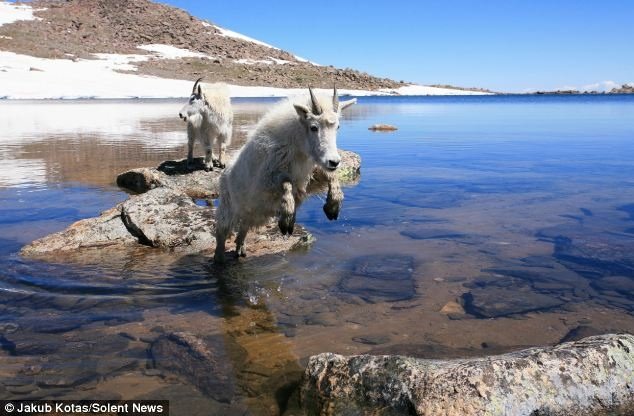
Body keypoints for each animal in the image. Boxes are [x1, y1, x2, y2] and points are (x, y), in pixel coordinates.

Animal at [214, 86, 356, 264]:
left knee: (243, 229)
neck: (298, 148)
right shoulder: (268, 181)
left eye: (337, 127)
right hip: (230, 207)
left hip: (251, 213)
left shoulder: (308, 178)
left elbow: (330, 177)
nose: (334, 161)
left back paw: (241, 250)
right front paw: (287, 220)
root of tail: (223, 175)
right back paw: (219, 258)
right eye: (313, 127)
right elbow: (286, 184)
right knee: (221, 232)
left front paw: (333, 206)